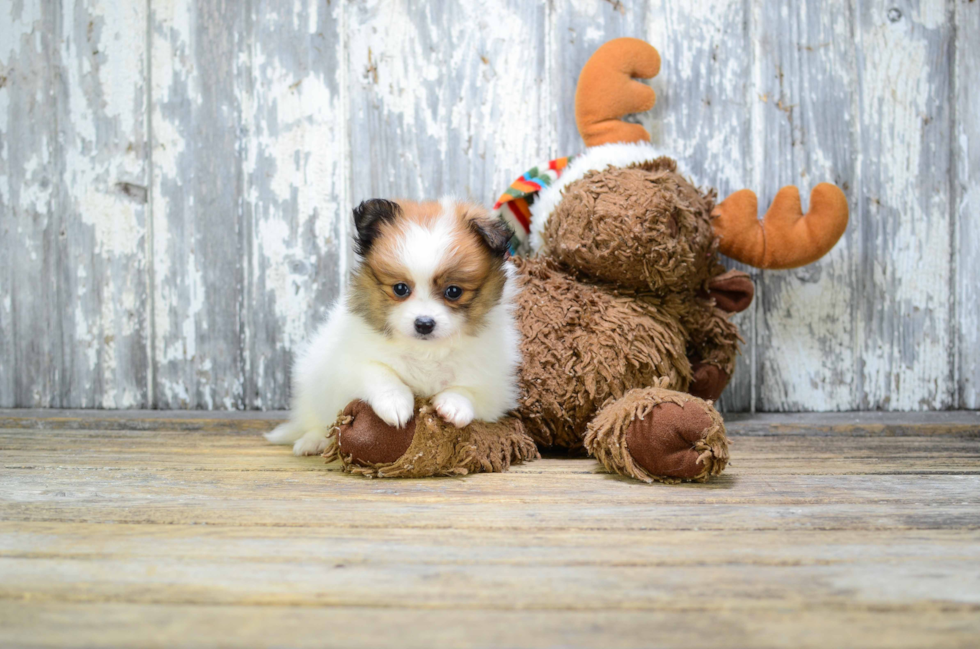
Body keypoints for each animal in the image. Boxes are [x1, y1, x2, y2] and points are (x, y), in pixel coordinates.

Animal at [260, 197, 520, 456]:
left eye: (453, 291)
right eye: (400, 288)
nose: (424, 324)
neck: (426, 351)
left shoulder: (495, 387)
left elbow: (470, 390)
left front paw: (453, 404)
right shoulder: (348, 365)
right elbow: (379, 372)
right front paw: (395, 402)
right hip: (311, 380)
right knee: (314, 418)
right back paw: (312, 441)